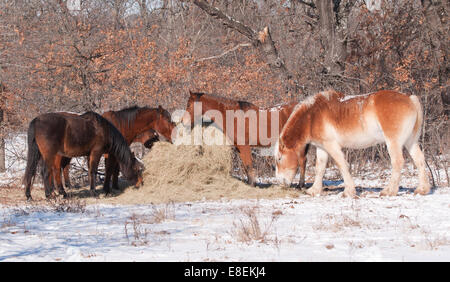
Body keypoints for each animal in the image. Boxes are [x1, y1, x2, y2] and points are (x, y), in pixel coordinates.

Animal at [276, 89, 430, 197]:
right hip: (410, 142)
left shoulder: (332, 146)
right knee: (420, 160)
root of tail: (410, 99)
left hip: (393, 142)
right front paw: (314, 190)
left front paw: (348, 191)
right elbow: (320, 168)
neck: (312, 116)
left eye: (279, 159)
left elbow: (342, 165)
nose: (280, 182)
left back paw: (389, 191)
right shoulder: (322, 148)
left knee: (397, 162)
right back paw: (422, 189)